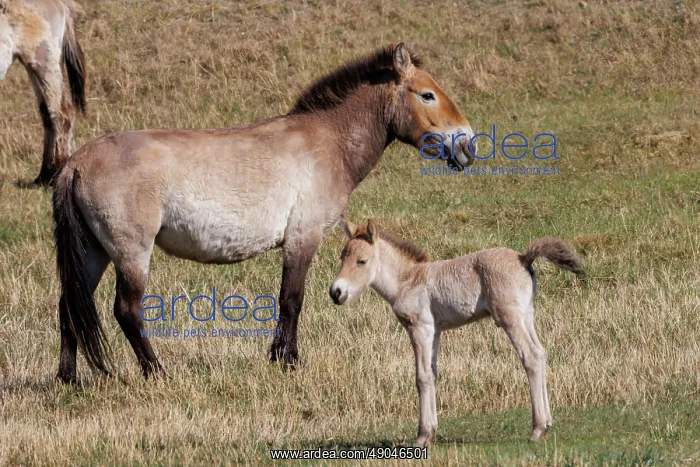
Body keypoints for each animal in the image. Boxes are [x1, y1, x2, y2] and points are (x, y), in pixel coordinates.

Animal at [0, 0, 86, 185]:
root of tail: (59, 4)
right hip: (34, 65)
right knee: (47, 114)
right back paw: (43, 175)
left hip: (43, 61)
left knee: (61, 112)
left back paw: (55, 171)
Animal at [51, 43, 477, 384]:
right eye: (427, 95)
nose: (468, 146)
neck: (329, 141)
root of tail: (75, 163)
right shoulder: (303, 237)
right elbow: (292, 299)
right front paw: (287, 361)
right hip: (131, 252)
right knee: (126, 310)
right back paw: (156, 372)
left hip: (94, 252)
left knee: (69, 303)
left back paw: (68, 378)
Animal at [329, 217, 584, 446]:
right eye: (342, 257)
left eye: (362, 261)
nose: (336, 292)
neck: (407, 280)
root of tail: (523, 258)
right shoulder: (435, 331)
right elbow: (432, 374)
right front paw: (431, 433)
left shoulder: (419, 328)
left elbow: (421, 377)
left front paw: (422, 437)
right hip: (526, 316)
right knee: (540, 353)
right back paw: (547, 424)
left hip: (510, 318)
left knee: (530, 356)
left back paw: (537, 429)